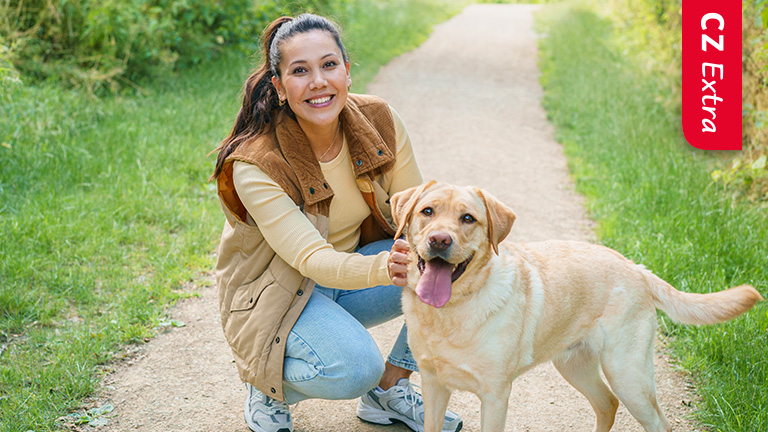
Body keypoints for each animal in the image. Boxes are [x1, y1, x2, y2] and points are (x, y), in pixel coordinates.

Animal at [390, 181, 760, 432]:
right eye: (427, 212)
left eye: (468, 218)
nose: (440, 240)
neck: (450, 310)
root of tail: (636, 267)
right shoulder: (434, 385)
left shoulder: (495, 396)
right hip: (575, 365)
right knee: (607, 403)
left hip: (628, 375)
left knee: (658, 422)